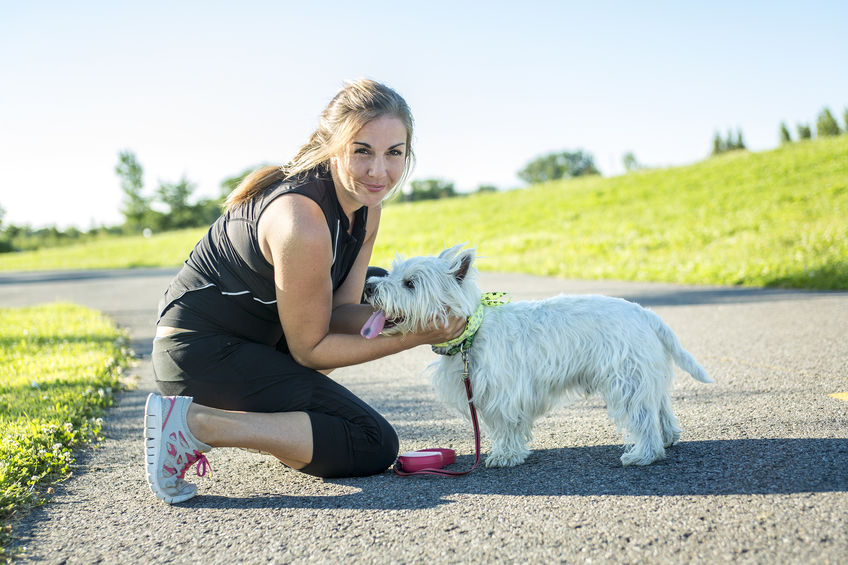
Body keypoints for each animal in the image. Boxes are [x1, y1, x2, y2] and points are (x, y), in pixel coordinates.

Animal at [362, 246, 712, 468]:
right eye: (392, 273)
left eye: (410, 283)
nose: (369, 287)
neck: (472, 332)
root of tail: (644, 313)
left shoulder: (501, 392)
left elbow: (505, 425)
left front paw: (505, 456)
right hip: (643, 376)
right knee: (661, 408)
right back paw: (668, 439)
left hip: (626, 380)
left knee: (644, 419)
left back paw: (643, 455)